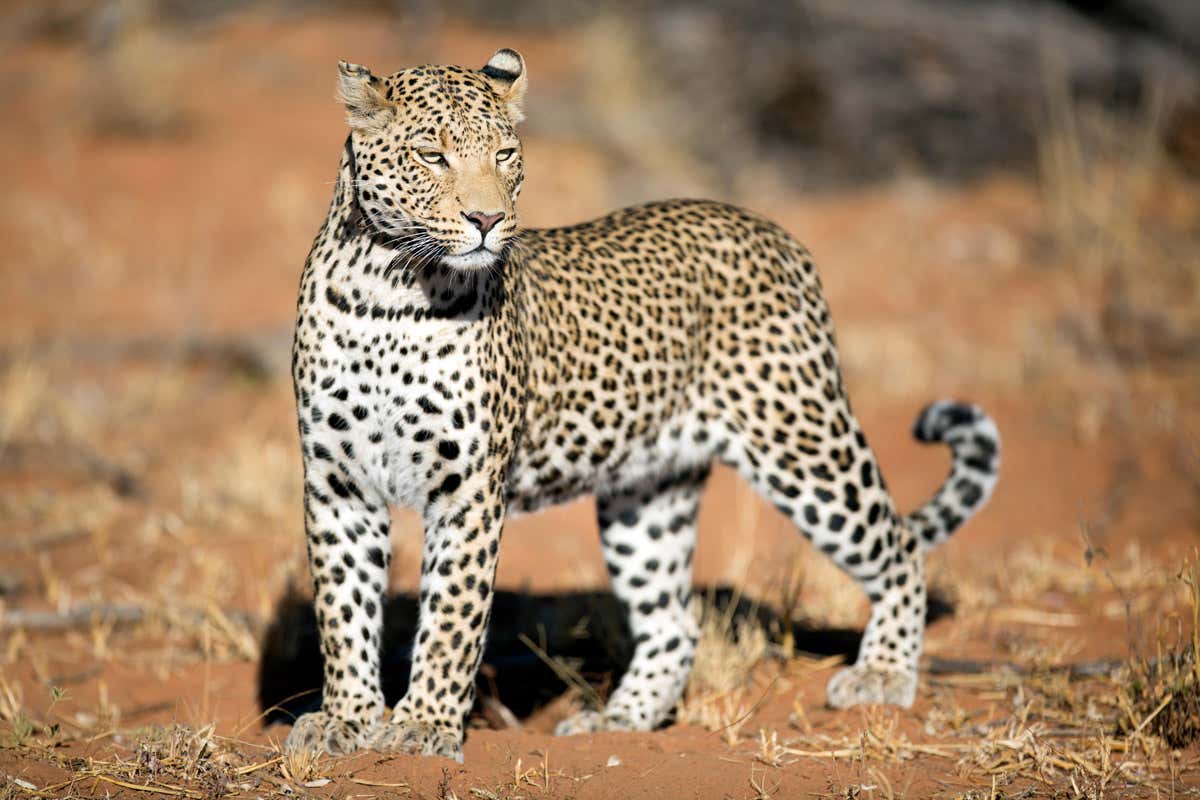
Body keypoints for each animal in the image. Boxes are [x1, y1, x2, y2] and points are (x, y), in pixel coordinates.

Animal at [285, 48, 1001, 762]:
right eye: (431, 156)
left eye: (505, 154)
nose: (486, 222)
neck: (389, 294)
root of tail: (773, 232)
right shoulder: (338, 481)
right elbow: (343, 609)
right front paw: (345, 719)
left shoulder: (469, 486)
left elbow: (451, 617)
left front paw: (423, 726)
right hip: (649, 493)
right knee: (674, 622)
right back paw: (617, 722)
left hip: (799, 440)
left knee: (899, 546)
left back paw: (881, 674)